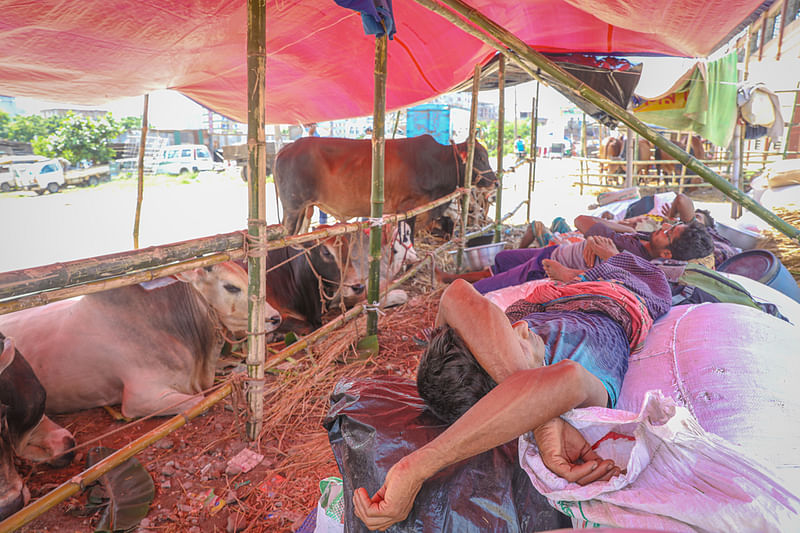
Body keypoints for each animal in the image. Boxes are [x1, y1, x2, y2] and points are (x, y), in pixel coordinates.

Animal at [276, 133, 500, 235]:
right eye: (480, 158)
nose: (496, 183)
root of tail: (287, 147)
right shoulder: (408, 208)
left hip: (305, 210)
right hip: (293, 210)